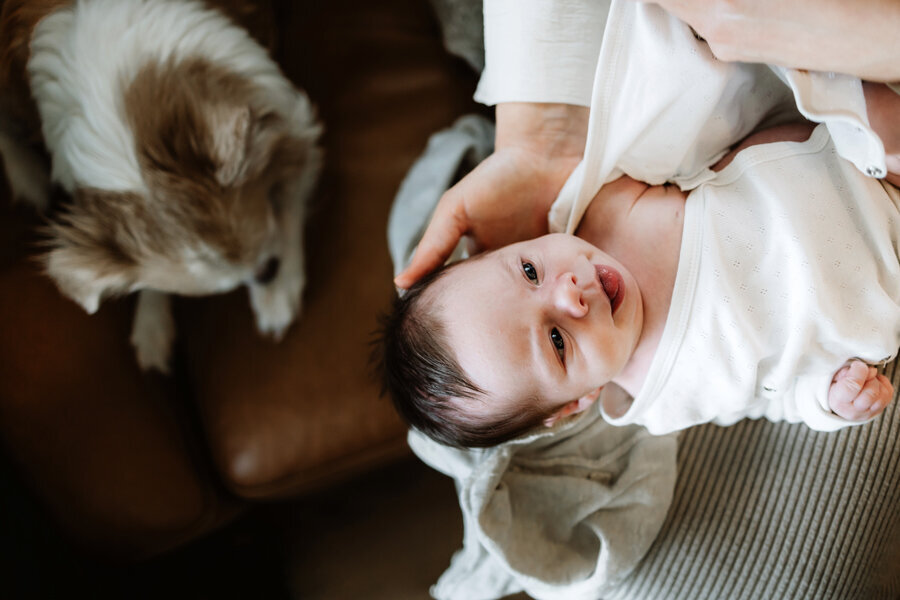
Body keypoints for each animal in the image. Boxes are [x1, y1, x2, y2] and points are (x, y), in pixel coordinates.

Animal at [0, 0, 324, 372]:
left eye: (266, 267)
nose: (265, 274)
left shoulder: (296, 122)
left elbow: (289, 201)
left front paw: (278, 295)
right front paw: (152, 323)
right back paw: (28, 178)